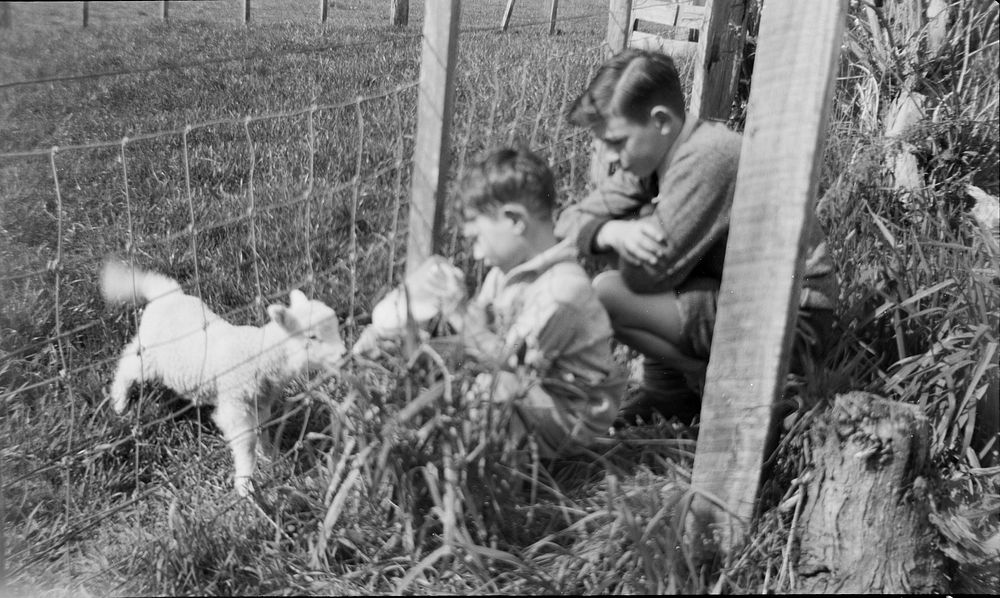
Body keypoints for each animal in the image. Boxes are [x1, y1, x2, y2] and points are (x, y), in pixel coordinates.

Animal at [100, 258, 346, 496]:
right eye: (312, 337)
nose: (344, 354)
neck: (261, 353)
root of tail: (169, 295)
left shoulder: (259, 402)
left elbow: (261, 429)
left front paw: (268, 454)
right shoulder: (235, 405)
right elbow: (245, 443)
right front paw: (245, 484)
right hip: (149, 354)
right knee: (127, 367)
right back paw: (119, 403)